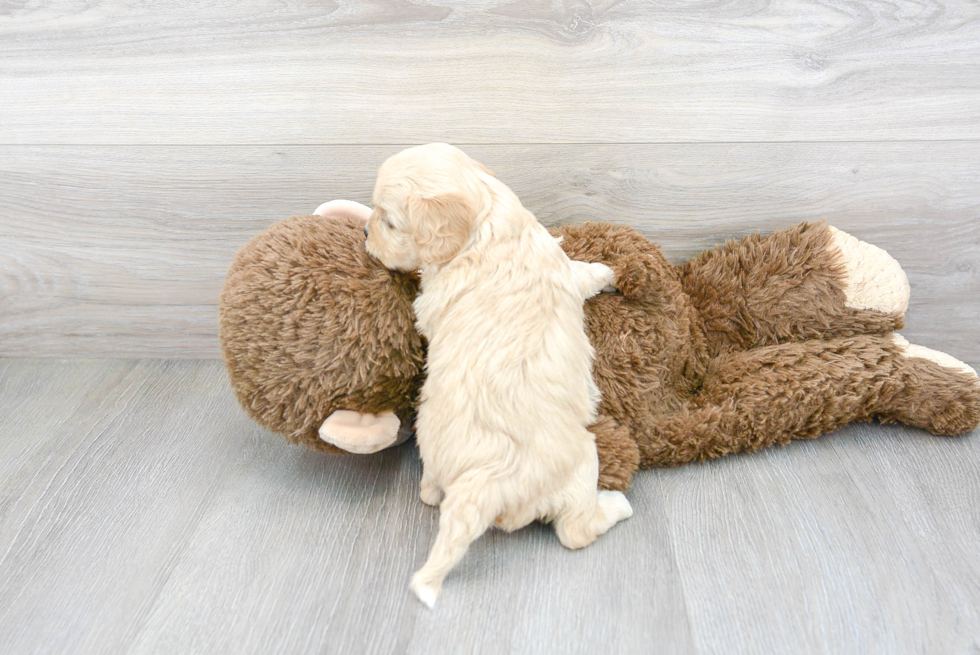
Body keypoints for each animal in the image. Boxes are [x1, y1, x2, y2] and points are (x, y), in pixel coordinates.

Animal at [364, 145, 632, 608]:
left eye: (389, 222)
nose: (365, 231)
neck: (483, 226)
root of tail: (485, 484)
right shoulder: (560, 268)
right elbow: (581, 273)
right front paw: (607, 272)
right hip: (582, 462)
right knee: (574, 531)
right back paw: (616, 505)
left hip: (435, 448)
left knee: (431, 492)